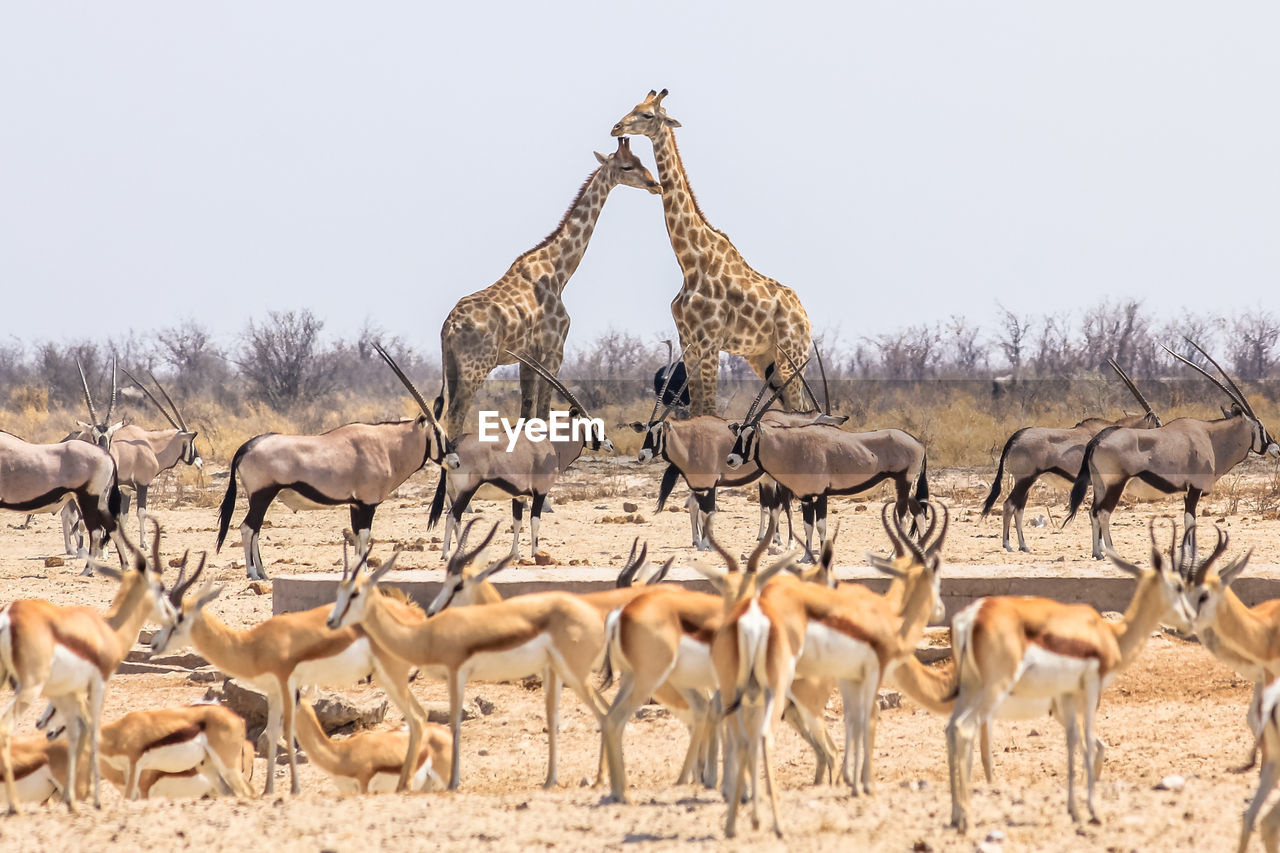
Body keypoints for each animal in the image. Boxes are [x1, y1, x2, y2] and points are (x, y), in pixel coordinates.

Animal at [437, 137, 665, 438]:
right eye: (627, 166)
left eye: (642, 160)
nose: (656, 185)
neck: (558, 272)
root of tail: (449, 327)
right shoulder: (555, 350)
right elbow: (544, 413)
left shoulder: (526, 357)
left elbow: (527, 413)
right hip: (476, 366)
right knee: (456, 414)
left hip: (452, 366)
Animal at [609, 89, 808, 414]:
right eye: (633, 106)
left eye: (647, 114)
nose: (616, 127)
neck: (691, 262)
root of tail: (805, 317)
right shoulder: (688, 342)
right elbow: (699, 410)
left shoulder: (710, 341)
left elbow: (710, 411)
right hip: (765, 359)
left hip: (793, 357)